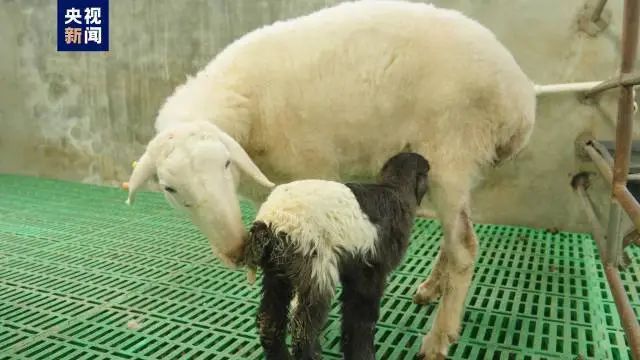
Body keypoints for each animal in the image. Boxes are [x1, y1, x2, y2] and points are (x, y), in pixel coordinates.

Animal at [244, 152, 430, 360]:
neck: (395, 191)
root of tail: (269, 224)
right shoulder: (372, 272)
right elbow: (362, 318)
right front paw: (363, 354)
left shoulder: (356, 272)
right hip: (316, 270)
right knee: (303, 330)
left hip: (277, 273)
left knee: (269, 322)